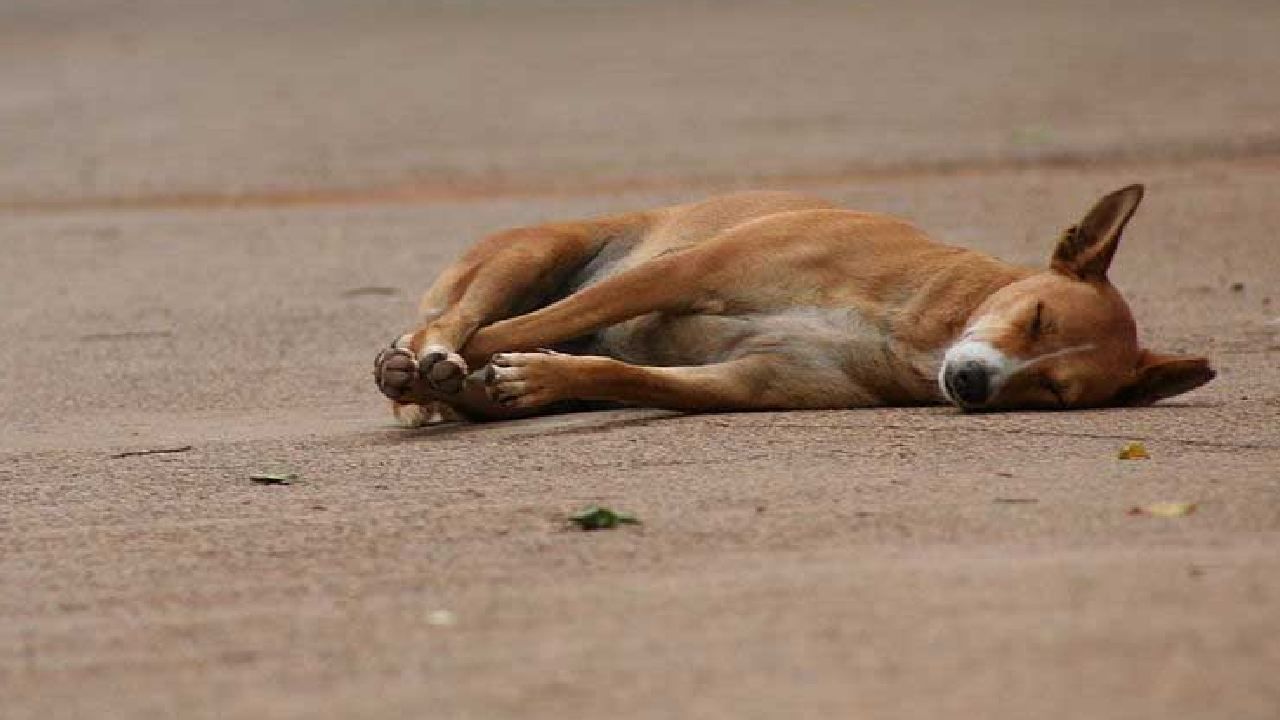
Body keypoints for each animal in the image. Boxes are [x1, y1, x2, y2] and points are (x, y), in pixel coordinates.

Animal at [373, 183, 1213, 425]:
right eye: (1037, 317)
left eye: (1055, 392)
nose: (971, 383)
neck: (912, 327)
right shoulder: (683, 273)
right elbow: (528, 326)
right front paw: (428, 363)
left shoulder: (749, 381)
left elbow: (629, 376)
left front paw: (543, 374)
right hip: (532, 254)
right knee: (462, 319)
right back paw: (421, 359)